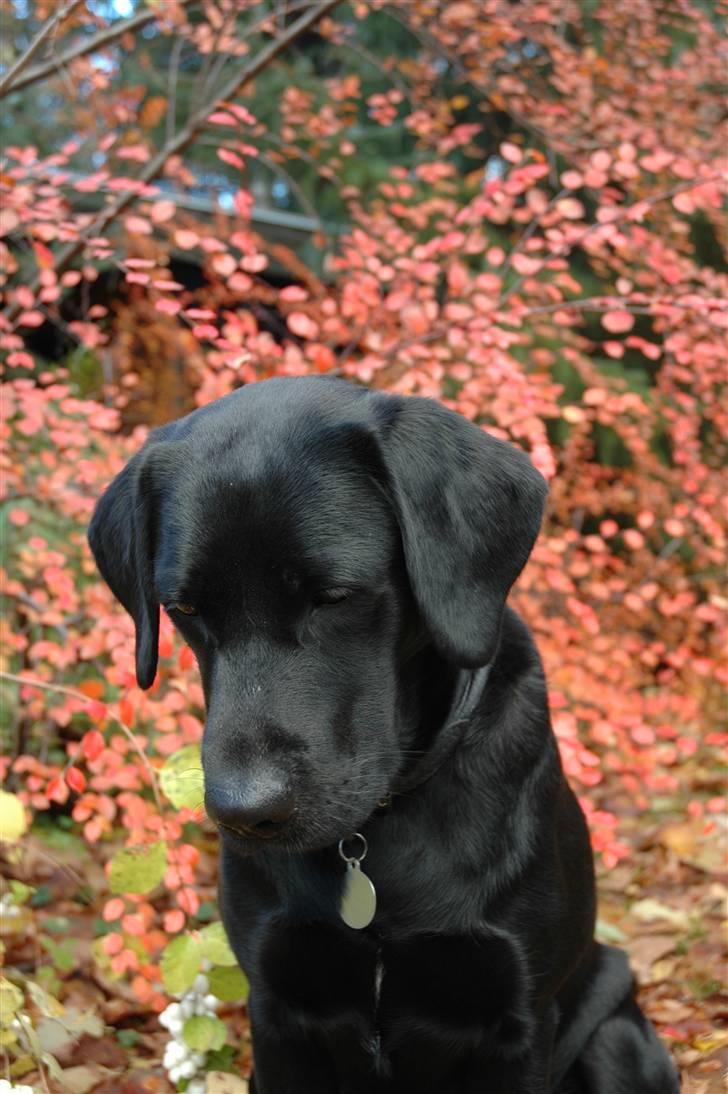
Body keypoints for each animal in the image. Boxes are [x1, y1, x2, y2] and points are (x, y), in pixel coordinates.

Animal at [88, 378, 678, 1094]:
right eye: (185, 609)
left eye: (334, 597)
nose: (244, 813)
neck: (376, 843)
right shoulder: (279, 1013)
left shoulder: (517, 1022)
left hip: (615, 1036)